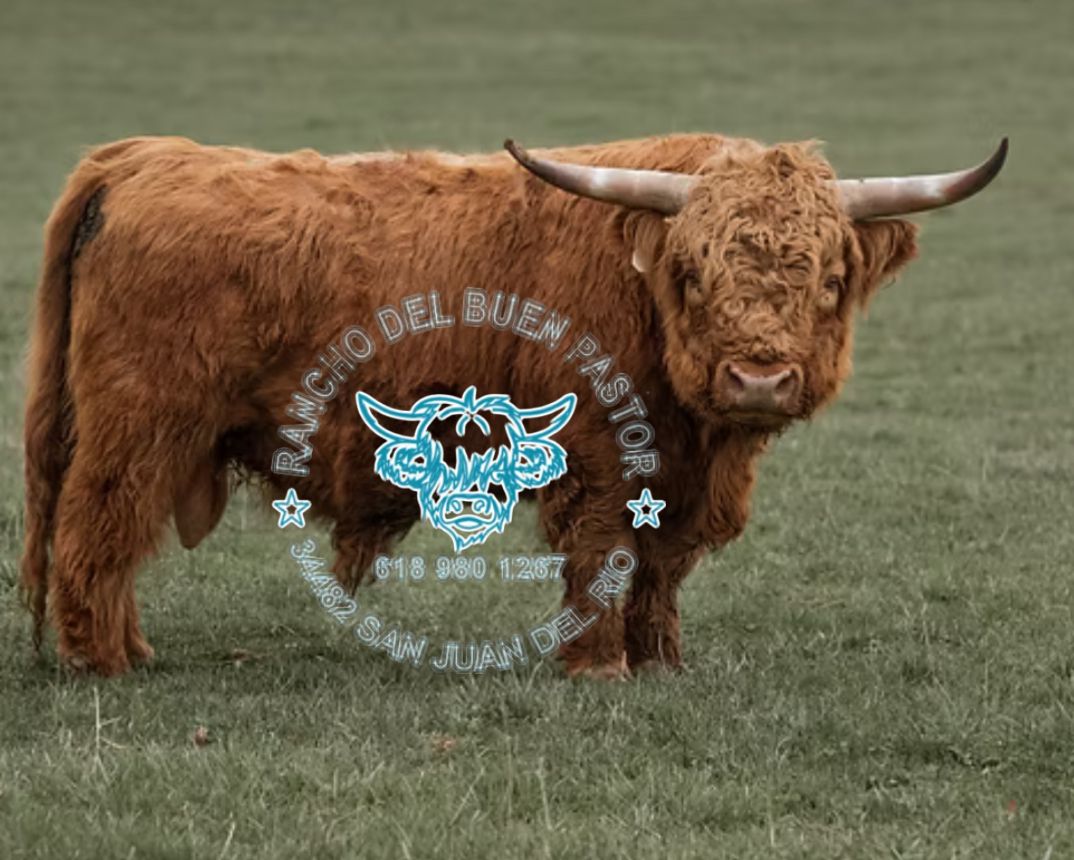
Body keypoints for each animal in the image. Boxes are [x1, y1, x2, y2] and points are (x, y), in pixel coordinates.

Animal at [19, 132, 1007, 677]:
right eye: (693, 273)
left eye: (830, 278)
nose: (757, 381)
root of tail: (142, 160)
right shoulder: (606, 458)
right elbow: (606, 553)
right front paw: (598, 668)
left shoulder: (680, 480)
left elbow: (659, 570)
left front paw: (661, 662)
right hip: (138, 424)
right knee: (96, 528)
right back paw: (102, 660)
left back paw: (130, 649)